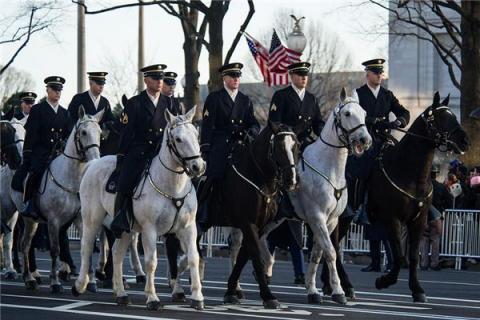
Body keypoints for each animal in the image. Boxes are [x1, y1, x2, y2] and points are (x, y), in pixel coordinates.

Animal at [10, 107, 103, 292]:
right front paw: (55, 282)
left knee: (25, 244)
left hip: (32, 221)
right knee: (20, 243)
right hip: (19, 215)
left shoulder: (80, 219)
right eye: (83, 132)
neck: (71, 177)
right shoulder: (53, 221)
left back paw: (30, 278)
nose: (96, 159)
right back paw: (25, 275)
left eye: (100, 133)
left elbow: (86, 246)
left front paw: (90, 282)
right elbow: (55, 250)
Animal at [74, 107, 205, 310]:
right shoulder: (150, 229)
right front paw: (152, 298)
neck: (172, 186)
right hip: (92, 219)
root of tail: (93, 163)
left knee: (117, 253)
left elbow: (193, 257)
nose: (198, 166)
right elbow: (151, 262)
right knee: (86, 247)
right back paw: (81, 284)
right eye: (178, 139)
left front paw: (197, 297)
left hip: (126, 228)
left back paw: (121, 293)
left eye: (196, 135)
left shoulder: (188, 228)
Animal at [258, 89, 372, 304]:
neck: (328, 168)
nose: (365, 140)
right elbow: (331, 252)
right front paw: (338, 291)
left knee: (260, 238)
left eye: (364, 113)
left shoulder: (331, 220)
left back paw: (266, 269)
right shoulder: (316, 217)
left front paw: (312, 290)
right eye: (347, 114)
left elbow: (318, 254)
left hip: (276, 218)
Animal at [320, 92, 470, 302]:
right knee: (332, 244)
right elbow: (399, 256)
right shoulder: (392, 219)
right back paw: (343, 286)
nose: (465, 141)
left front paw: (417, 289)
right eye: (442, 118)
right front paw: (384, 281)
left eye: (453, 116)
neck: (408, 172)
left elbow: (412, 257)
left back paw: (332, 285)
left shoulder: (418, 221)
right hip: (342, 215)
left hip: (344, 217)